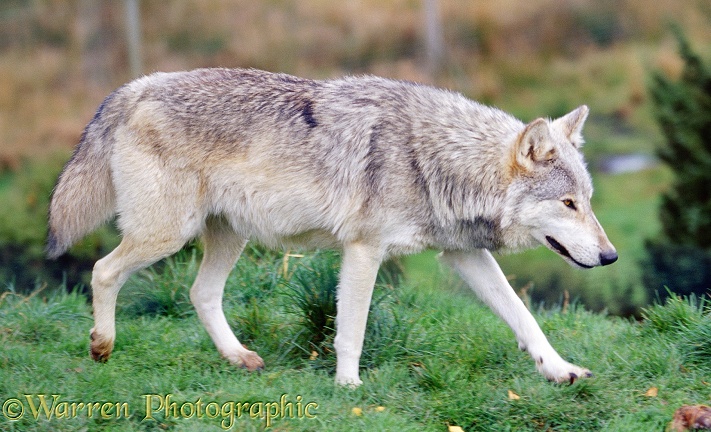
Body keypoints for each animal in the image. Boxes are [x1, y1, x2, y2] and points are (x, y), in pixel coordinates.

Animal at [48, 67, 616, 384]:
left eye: (587, 202)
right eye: (567, 203)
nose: (610, 256)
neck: (431, 158)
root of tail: (136, 87)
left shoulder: (464, 254)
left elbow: (524, 317)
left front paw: (560, 370)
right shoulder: (364, 250)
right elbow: (351, 331)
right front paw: (348, 388)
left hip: (227, 236)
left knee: (199, 293)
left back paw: (239, 358)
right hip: (168, 234)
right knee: (102, 270)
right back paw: (101, 346)